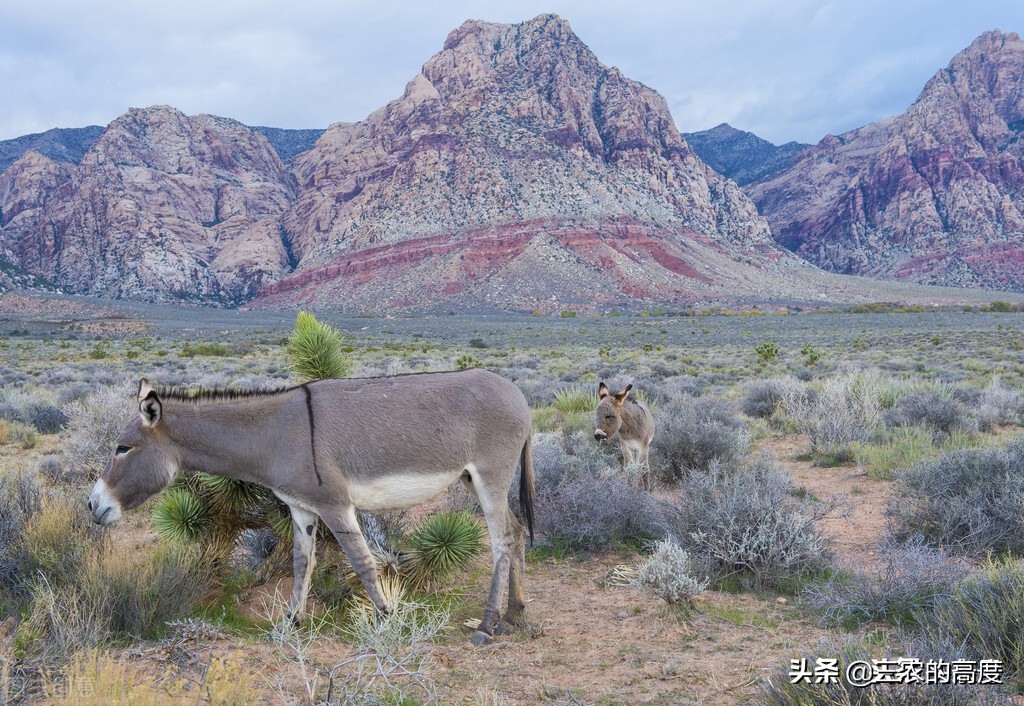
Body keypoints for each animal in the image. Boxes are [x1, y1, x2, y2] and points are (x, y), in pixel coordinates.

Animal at [90, 368, 536, 643]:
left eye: (122, 448)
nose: (92, 505)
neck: (275, 434)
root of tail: (519, 394)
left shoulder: (334, 504)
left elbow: (362, 561)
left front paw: (386, 619)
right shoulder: (301, 508)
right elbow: (302, 563)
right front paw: (290, 623)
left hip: (490, 477)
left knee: (502, 539)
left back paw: (486, 625)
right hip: (474, 479)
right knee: (517, 531)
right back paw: (515, 615)